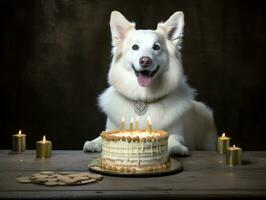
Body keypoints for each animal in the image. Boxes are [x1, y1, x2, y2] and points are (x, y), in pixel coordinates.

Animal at [83, 10, 216, 155]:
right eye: (135, 47)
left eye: (156, 47)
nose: (145, 61)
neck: (143, 98)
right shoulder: (112, 128)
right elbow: (104, 135)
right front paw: (94, 143)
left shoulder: (177, 132)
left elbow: (173, 137)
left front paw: (176, 147)